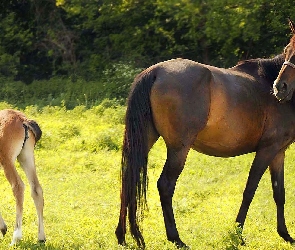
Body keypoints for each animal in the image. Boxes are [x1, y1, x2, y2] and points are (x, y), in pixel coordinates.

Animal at [0, 109, 45, 244]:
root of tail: (23, 120)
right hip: (26, 157)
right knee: (36, 189)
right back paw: (41, 238)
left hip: (7, 161)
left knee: (18, 186)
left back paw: (16, 237)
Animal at [116, 24, 295, 248]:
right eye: (287, 50)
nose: (280, 87)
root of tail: (155, 72)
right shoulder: (267, 149)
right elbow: (250, 190)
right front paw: (237, 234)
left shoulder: (279, 151)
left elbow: (279, 193)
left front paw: (285, 234)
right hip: (179, 149)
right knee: (165, 185)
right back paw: (176, 238)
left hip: (144, 139)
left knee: (128, 178)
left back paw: (122, 235)